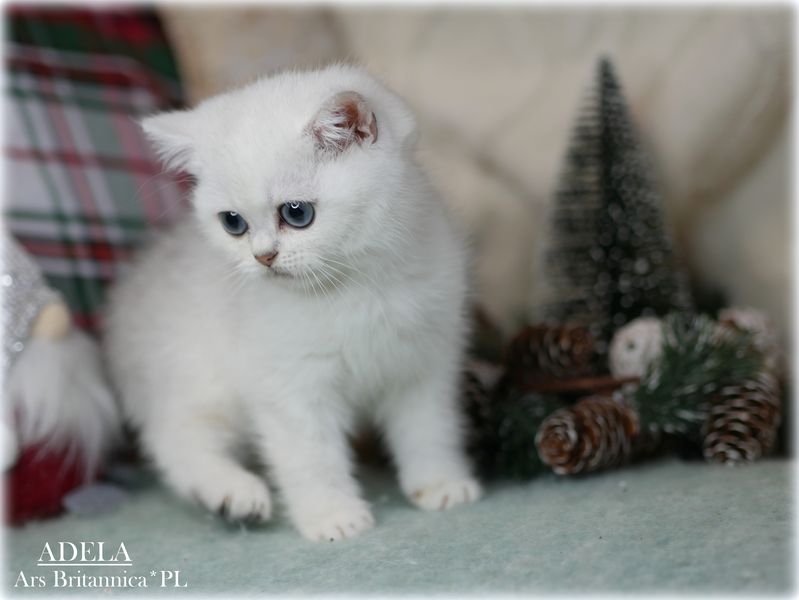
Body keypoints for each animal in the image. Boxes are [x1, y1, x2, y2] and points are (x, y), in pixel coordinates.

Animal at [103, 64, 482, 541]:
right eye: (233, 223)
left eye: (297, 213)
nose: (262, 257)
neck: (353, 288)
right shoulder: (288, 383)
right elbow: (310, 455)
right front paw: (332, 515)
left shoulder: (425, 363)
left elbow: (430, 428)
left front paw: (440, 483)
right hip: (195, 376)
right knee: (175, 438)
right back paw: (233, 495)